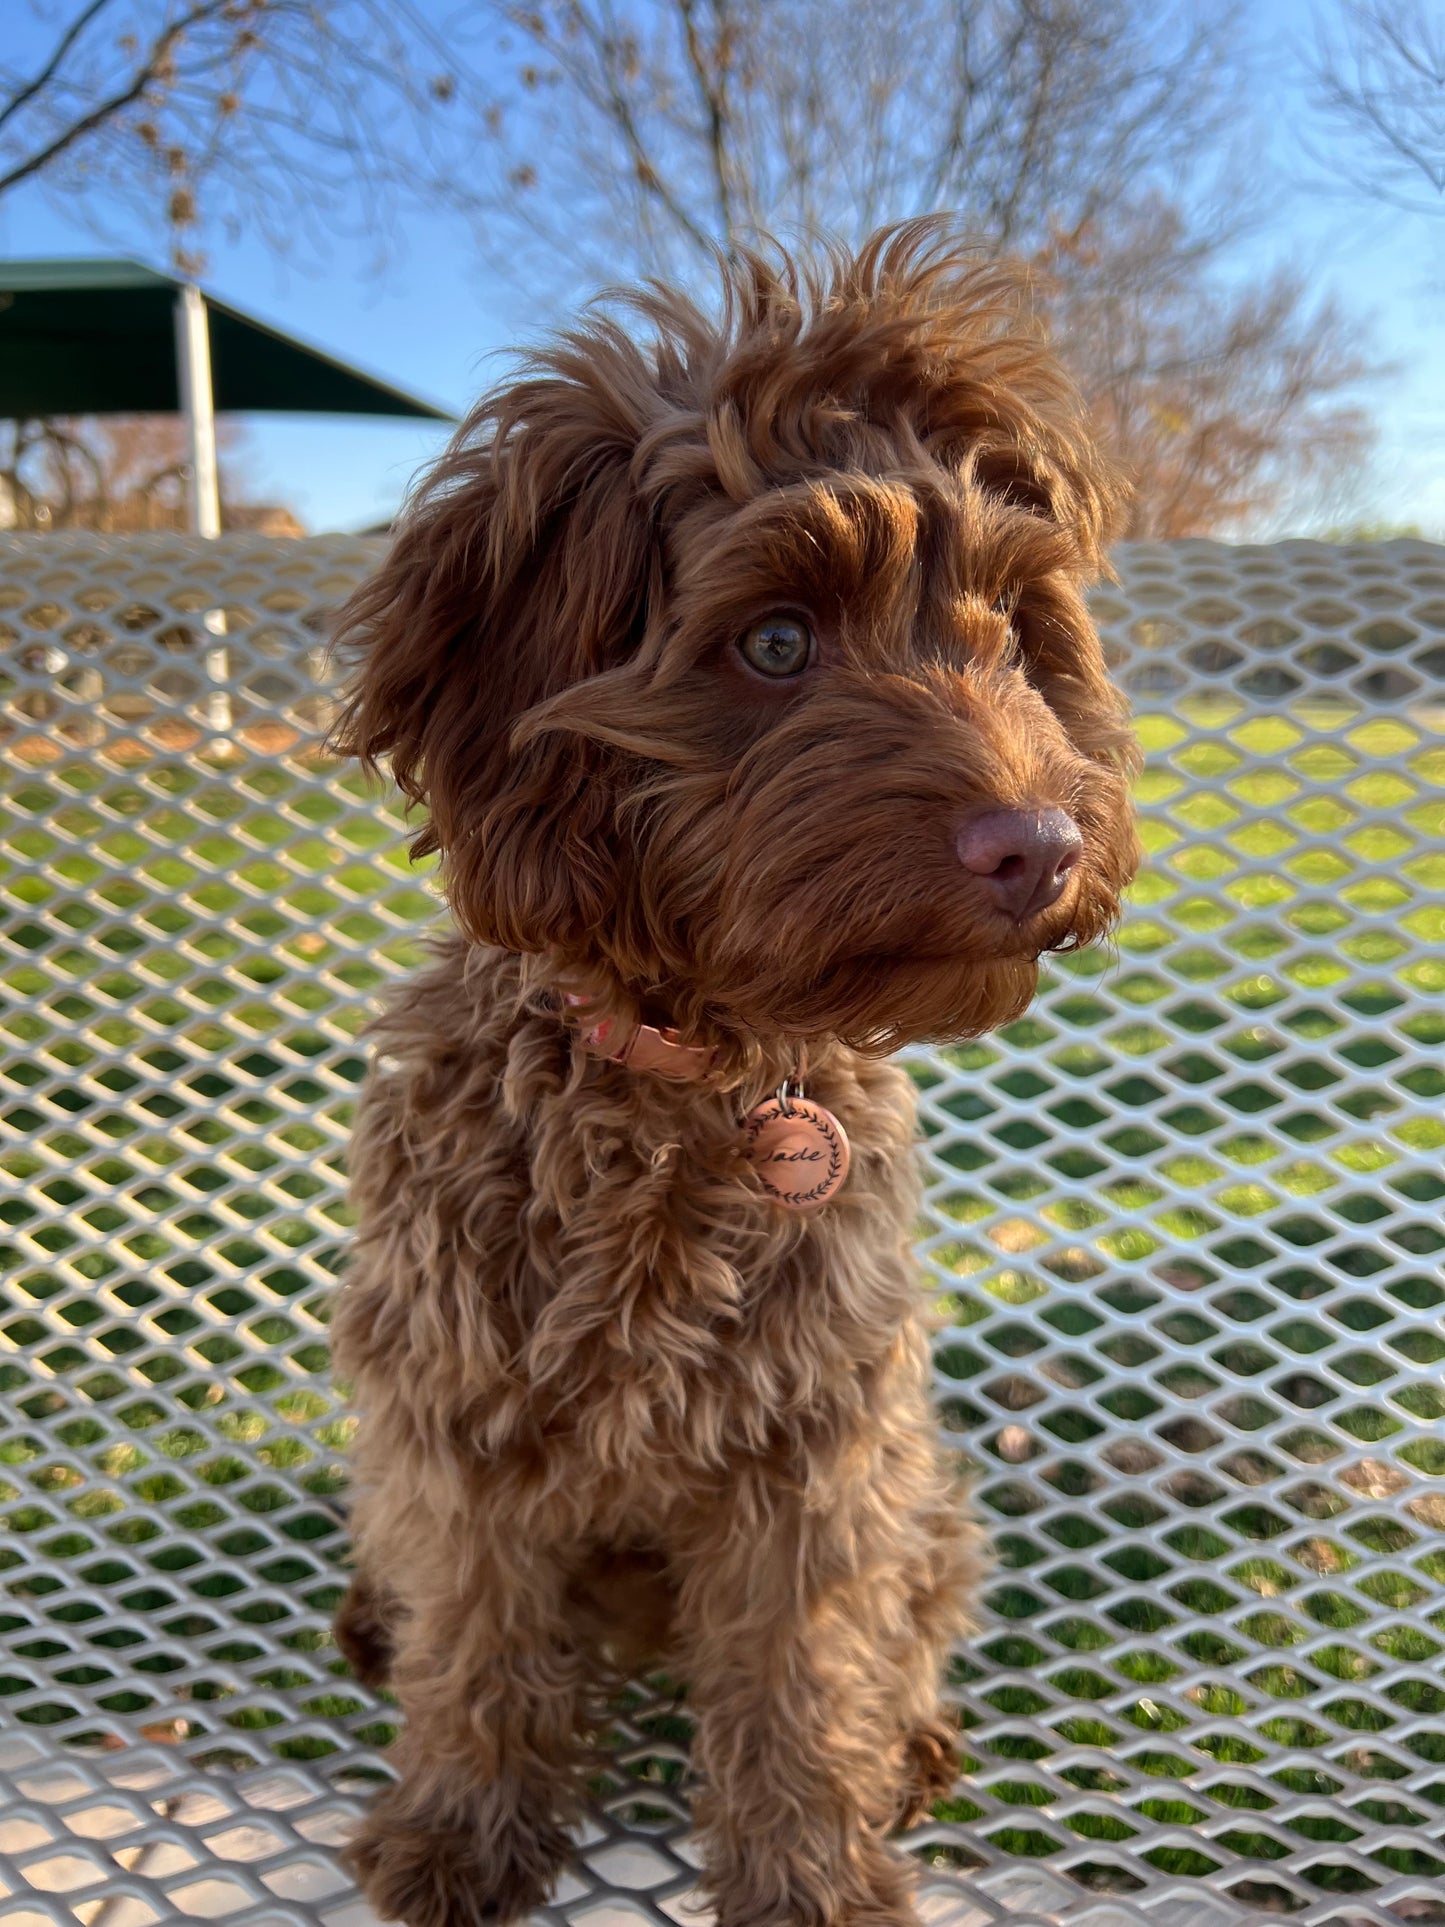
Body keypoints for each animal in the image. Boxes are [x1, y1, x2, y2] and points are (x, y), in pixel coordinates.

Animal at [327, 225, 1140, 1927]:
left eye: (1014, 630)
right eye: (774, 642)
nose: (1038, 843)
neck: (701, 1069)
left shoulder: (818, 1438)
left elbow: (805, 1664)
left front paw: (810, 1867)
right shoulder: (453, 1411)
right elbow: (479, 1637)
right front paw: (459, 1822)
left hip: (916, 1470)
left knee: (918, 1593)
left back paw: (909, 1735)